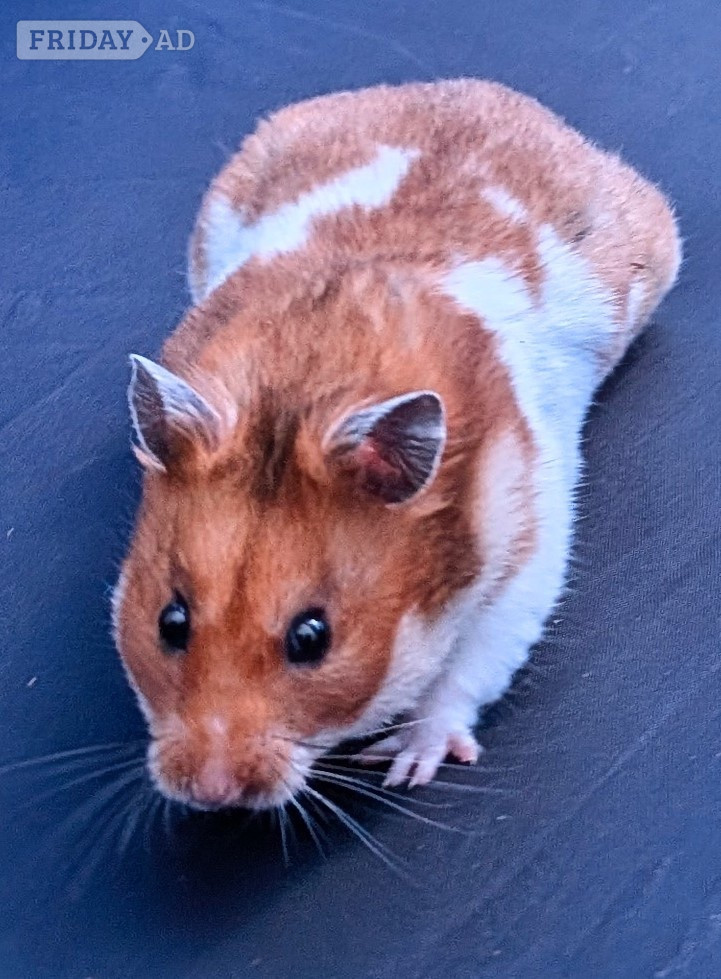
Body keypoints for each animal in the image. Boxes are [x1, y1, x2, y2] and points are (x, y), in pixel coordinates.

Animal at [112, 80, 680, 811]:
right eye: (169, 621)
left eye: (312, 637)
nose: (211, 793)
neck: (300, 390)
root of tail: (479, 88)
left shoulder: (526, 548)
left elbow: (469, 667)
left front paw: (405, 765)